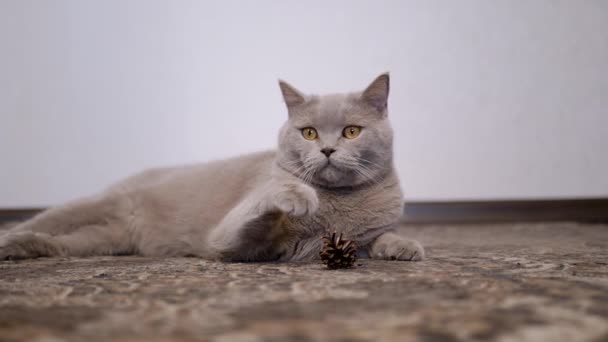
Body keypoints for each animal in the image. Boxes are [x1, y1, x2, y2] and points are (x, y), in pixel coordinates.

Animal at [0, 74, 426, 262]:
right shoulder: (234, 242)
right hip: (95, 204)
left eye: (352, 131)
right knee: (39, 220)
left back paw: (23, 248)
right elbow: (254, 211)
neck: (340, 206)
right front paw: (294, 194)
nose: (326, 149)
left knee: (60, 243)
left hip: (103, 239)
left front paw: (404, 246)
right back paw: (9, 240)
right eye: (308, 132)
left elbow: (379, 238)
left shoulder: (365, 234)